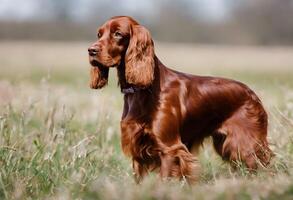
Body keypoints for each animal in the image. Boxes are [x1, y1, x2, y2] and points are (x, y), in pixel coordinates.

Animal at [86, 16, 272, 184]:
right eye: (99, 34)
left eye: (117, 33)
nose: (91, 50)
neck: (143, 90)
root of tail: (252, 94)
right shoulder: (137, 149)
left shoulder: (170, 149)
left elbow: (164, 179)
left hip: (244, 145)